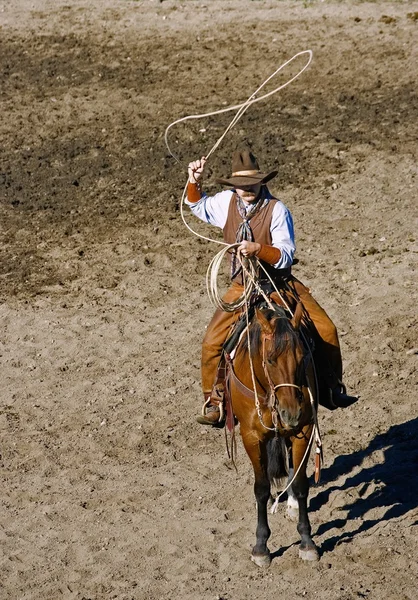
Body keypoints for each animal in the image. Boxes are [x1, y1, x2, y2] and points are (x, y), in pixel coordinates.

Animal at [225, 300, 320, 568]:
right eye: (270, 360)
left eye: (302, 357)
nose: (292, 412)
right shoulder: (251, 436)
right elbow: (261, 488)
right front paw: (261, 547)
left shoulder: (304, 429)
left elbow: (300, 483)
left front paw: (307, 541)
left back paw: (291, 505)